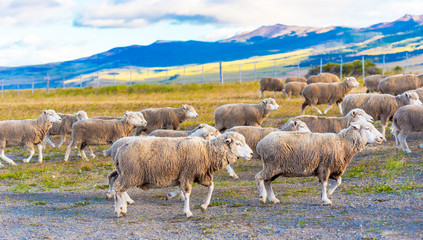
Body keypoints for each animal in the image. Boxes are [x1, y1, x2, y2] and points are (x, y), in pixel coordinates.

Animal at [111, 131, 253, 218]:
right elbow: (187, 193)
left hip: (127, 174)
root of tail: (120, 150)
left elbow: (211, 187)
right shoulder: (187, 173)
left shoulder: (200, 175)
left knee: (119, 189)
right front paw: (188, 212)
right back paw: (120, 210)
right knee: (118, 188)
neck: (208, 151)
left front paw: (203, 206)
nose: (251, 154)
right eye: (238, 143)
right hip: (131, 174)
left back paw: (121, 209)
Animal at [256, 121, 386, 205]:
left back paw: (273, 199)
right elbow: (324, 183)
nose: (381, 137)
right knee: (259, 177)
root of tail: (260, 144)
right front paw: (325, 199)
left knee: (267, 182)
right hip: (271, 165)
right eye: (367, 128)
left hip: (276, 168)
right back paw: (263, 197)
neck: (342, 143)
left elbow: (339, 181)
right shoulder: (325, 167)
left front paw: (329, 193)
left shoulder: (334, 169)